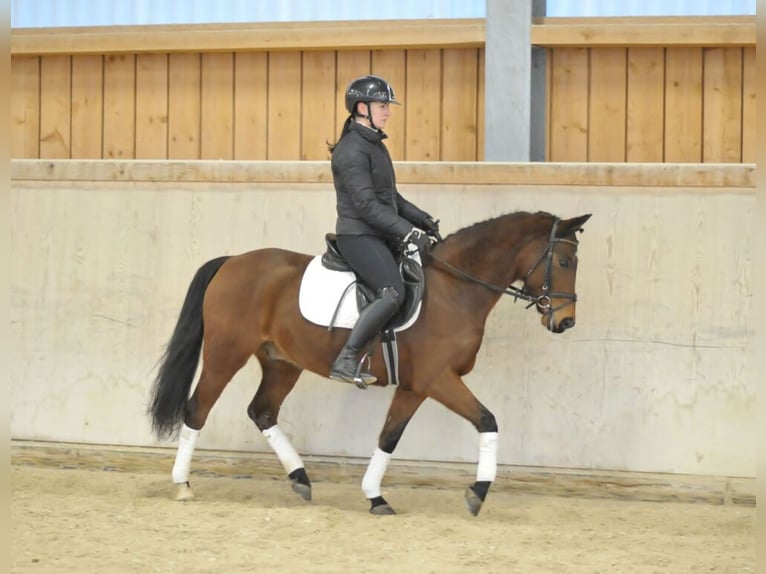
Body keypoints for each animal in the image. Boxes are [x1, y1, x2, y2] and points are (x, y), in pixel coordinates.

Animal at [150, 210, 592, 516]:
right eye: (564, 262)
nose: (565, 321)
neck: (455, 290)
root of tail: (233, 260)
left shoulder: (415, 386)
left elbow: (389, 437)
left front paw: (375, 497)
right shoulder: (438, 379)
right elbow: (487, 420)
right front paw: (477, 493)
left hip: (282, 362)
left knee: (262, 411)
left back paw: (301, 479)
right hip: (226, 355)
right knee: (198, 409)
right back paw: (183, 485)